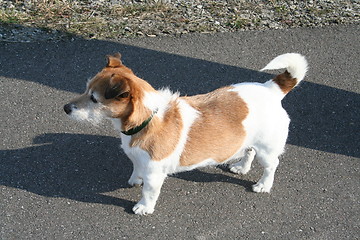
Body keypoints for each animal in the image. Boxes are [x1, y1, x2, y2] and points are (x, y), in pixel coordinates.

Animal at [64, 52, 306, 214]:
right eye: (86, 89)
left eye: (94, 99)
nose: (65, 108)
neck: (147, 118)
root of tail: (271, 88)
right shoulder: (139, 159)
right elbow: (136, 169)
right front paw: (135, 179)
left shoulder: (155, 172)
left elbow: (149, 192)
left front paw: (143, 207)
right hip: (249, 140)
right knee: (249, 152)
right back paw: (241, 167)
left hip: (268, 149)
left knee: (271, 166)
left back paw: (263, 185)